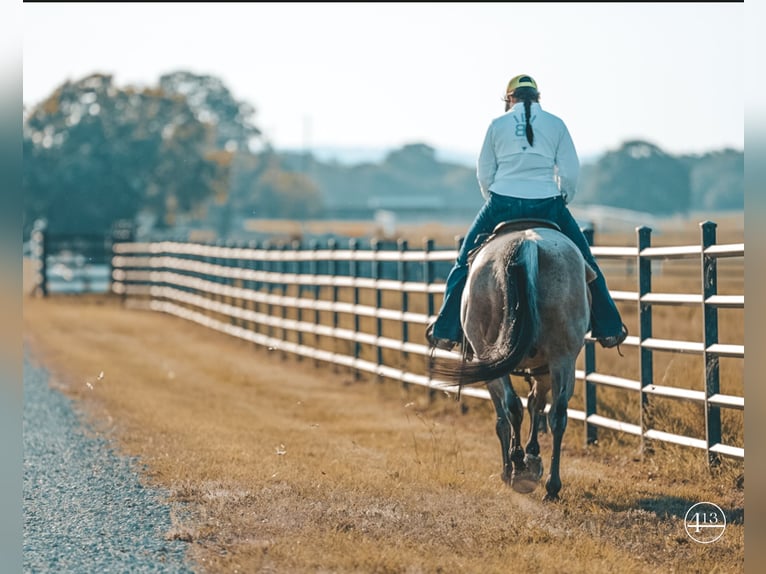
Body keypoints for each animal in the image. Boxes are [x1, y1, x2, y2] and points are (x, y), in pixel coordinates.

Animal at [428, 223, 596, 502]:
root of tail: (527, 244)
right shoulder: (545, 370)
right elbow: (536, 405)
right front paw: (532, 457)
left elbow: (503, 418)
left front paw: (518, 465)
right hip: (562, 358)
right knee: (557, 414)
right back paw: (551, 485)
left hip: (494, 357)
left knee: (512, 406)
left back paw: (517, 469)